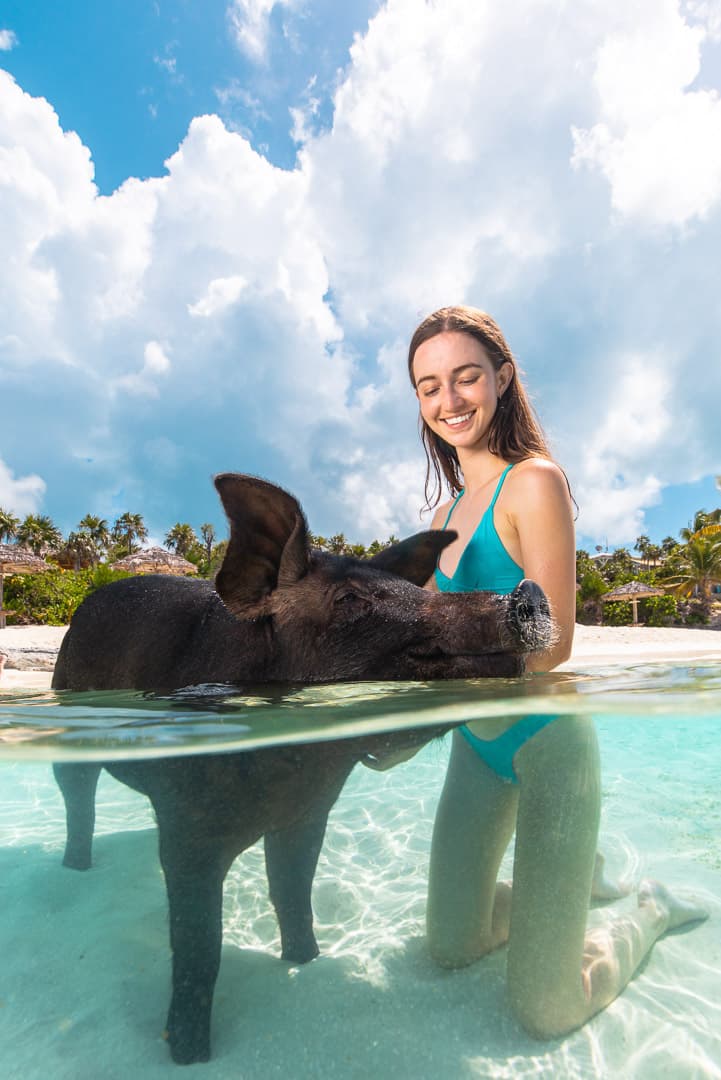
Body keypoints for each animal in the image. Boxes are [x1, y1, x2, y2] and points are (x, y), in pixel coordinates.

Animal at [51, 473, 551, 1065]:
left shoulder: (309, 815)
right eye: (351, 599)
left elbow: (293, 890)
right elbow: (199, 942)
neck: (293, 769)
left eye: (413, 589)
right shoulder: (185, 827)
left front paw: (305, 961)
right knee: (76, 796)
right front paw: (190, 1055)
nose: (526, 593)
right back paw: (76, 868)